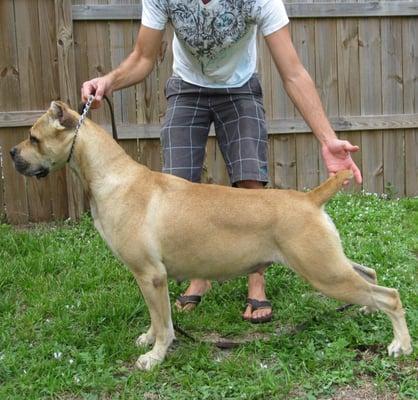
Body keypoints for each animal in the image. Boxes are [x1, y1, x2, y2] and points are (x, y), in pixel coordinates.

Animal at [9, 102, 412, 368]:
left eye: (33, 137)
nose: (12, 153)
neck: (111, 176)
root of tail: (310, 198)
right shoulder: (148, 279)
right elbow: (155, 317)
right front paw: (147, 338)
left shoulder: (150, 276)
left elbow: (164, 323)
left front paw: (154, 355)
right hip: (329, 263)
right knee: (370, 276)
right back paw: (365, 309)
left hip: (323, 272)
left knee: (390, 296)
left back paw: (400, 345)